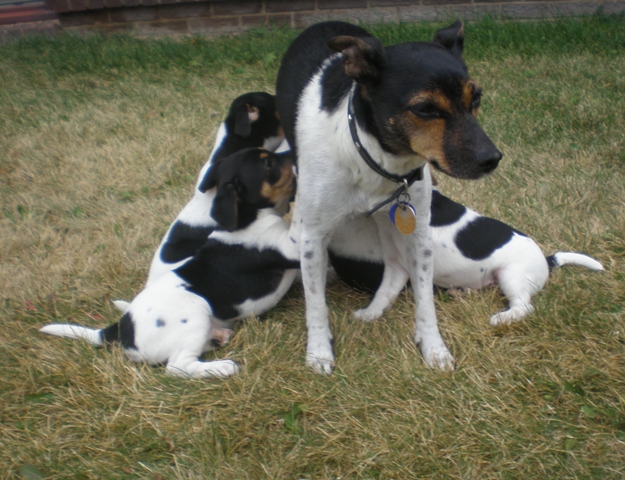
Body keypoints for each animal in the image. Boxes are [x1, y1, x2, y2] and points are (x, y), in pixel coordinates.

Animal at [41, 148, 300, 380]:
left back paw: (218, 338)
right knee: (177, 368)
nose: (294, 153)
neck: (249, 218)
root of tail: (121, 329)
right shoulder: (288, 246)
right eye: (268, 163)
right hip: (195, 313)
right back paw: (222, 367)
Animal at [276, 20, 500, 374]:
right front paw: (319, 352)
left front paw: (433, 347)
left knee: (395, 266)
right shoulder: (313, 236)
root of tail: (324, 24)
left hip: (390, 219)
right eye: (425, 108)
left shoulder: (417, 231)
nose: (492, 159)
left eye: (475, 97)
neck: (375, 161)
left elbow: (425, 298)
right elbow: (316, 303)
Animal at [330, 188, 604, 326]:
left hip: (511, 276)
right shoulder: (397, 267)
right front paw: (369, 315)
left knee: (524, 307)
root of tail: (547, 260)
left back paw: (502, 318)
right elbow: (382, 295)